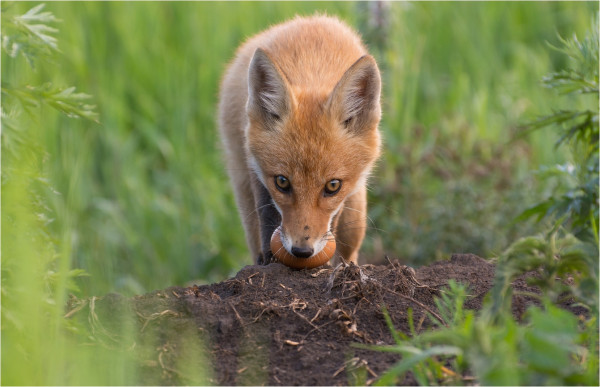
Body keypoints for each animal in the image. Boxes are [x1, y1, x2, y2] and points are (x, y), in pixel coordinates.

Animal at [218, 13, 382, 266]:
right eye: (282, 182)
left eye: (333, 186)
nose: (302, 251)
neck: (311, 67)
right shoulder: (255, 167)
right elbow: (266, 214)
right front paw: (270, 262)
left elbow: (333, 222)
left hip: (355, 216)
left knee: (348, 247)